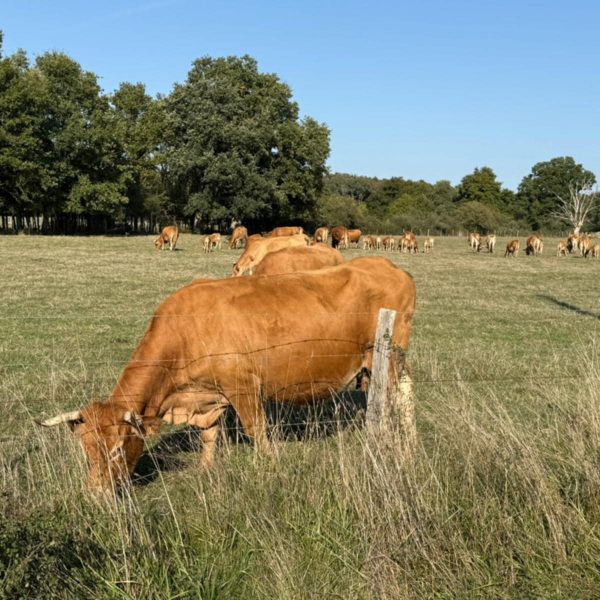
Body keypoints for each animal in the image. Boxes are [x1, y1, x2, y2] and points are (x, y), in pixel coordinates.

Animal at [38, 257, 417, 496]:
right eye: (87, 449)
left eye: (117, 449)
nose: (96, 493)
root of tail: (388, 265)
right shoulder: (207, 396)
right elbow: (209, 436)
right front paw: (206, 471)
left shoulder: (244, 387)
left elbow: (257, 432)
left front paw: (269, 469)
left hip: (391, 358)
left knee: (403, 397)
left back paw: (404, 444)